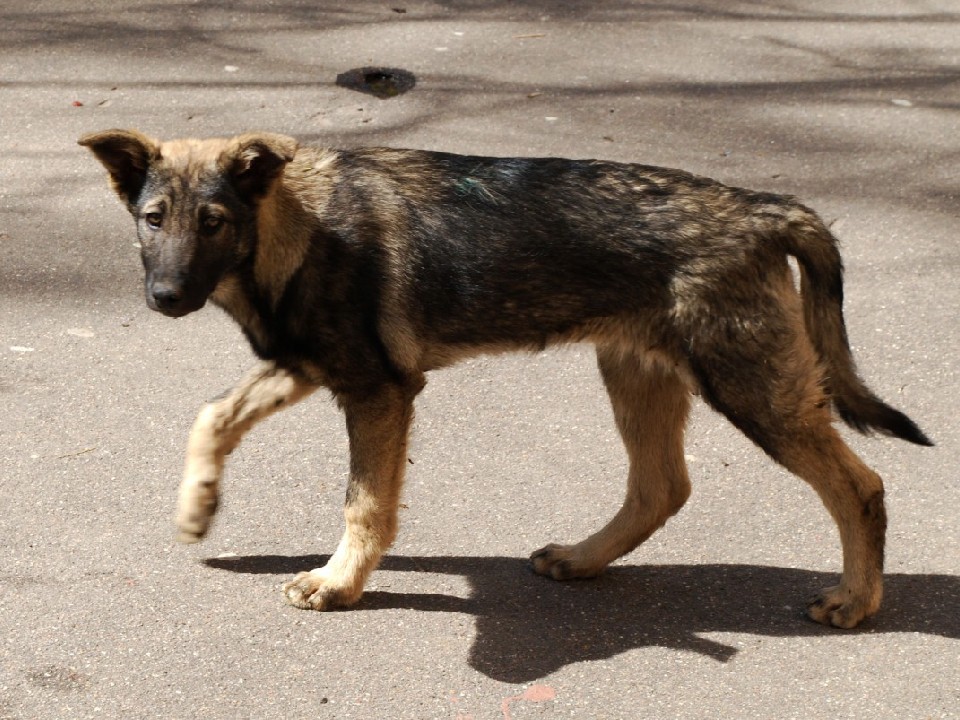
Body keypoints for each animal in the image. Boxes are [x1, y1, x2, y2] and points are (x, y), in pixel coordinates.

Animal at [79, 129, 932, 632]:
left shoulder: (378, 391)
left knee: (859, 487)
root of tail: (762, 208)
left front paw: (338, 583)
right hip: (638, 375)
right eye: (154, 219)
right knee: (662, 487)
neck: (294, 223)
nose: (166, 298)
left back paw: (856, 600)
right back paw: (583, 559)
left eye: (213, 222)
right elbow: (214, 415)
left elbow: (364, 505)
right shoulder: (311, 365)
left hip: (752, 389)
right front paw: (198, 508)